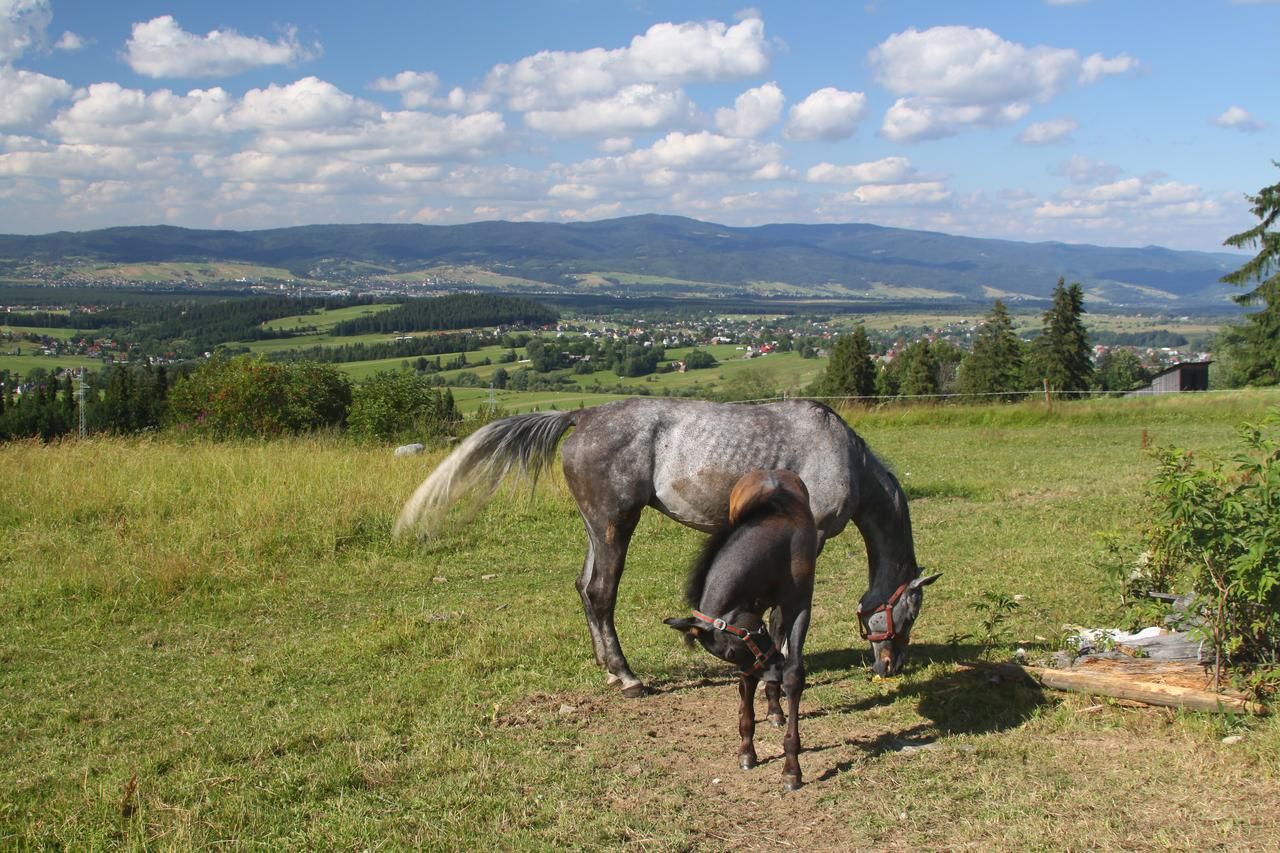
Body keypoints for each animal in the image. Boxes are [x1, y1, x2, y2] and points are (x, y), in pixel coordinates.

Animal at [394, 394, 936, 696]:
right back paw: (628, 678)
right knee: (601, 594)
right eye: (908, 614)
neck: (844, 455)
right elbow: (787, 614)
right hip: (615, 525)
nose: (891, 667)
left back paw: (609, 670)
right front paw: (780, 661)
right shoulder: (812, 539)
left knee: (585, 588)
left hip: (597, 527)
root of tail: (582, 416)